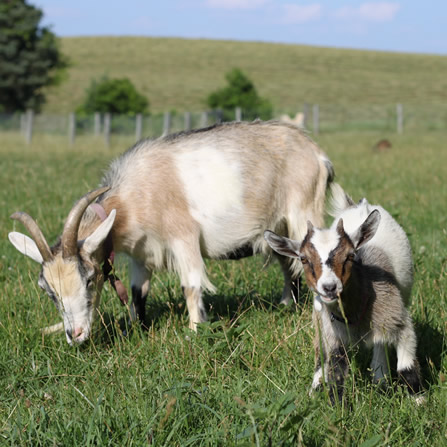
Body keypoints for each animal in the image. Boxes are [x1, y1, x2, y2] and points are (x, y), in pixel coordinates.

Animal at [7, 120, 336, 346]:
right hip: (277, 225)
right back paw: (285, 305)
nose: (75, 334)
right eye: (47, 291)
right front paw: (134, 327)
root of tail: (318, 154)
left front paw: (194, 332)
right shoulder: (141, 253)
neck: (131, 197)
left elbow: (190, 285)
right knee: (287, 263)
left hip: (303, 211)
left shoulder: (183, 236)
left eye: (88, 280)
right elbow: (138, 292)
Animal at [266, 185, 424, 402]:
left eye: (350, 255)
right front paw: (336, 404)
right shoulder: (333, 334)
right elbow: (335, 370)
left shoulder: (399, 321)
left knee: (380, 343)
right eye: (303, 259)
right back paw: (316, 386)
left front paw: (419, 402)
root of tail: (358, 205)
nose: (330, 287)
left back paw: (380, 378)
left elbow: (406, 367)